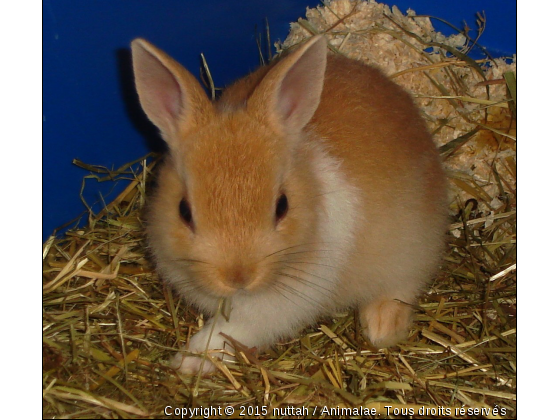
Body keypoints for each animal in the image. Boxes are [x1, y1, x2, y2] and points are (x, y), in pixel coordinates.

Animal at [130, 35, 446, 374]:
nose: (238, 277)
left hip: (409, 250)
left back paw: (381, 328)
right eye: (183, 211)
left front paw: (188, 362)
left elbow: (228, 332)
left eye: (282, 206)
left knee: (403, 286)